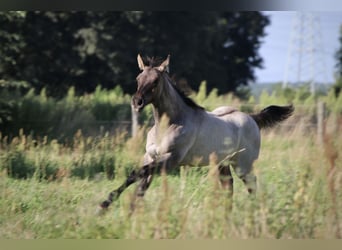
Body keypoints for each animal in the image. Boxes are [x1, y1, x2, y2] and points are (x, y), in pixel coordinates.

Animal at [99, 54, 294, 211]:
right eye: (138, 78)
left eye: (155, 81)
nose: (137, 102)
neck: (170, 124)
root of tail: (252, 118)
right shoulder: (151, 157)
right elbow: (138, 181)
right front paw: (116, 209)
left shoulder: (170, 159)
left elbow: (137, 173)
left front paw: (106, 205)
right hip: (222, 164)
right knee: (228, 186)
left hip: (243, 165)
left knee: (252, 185)